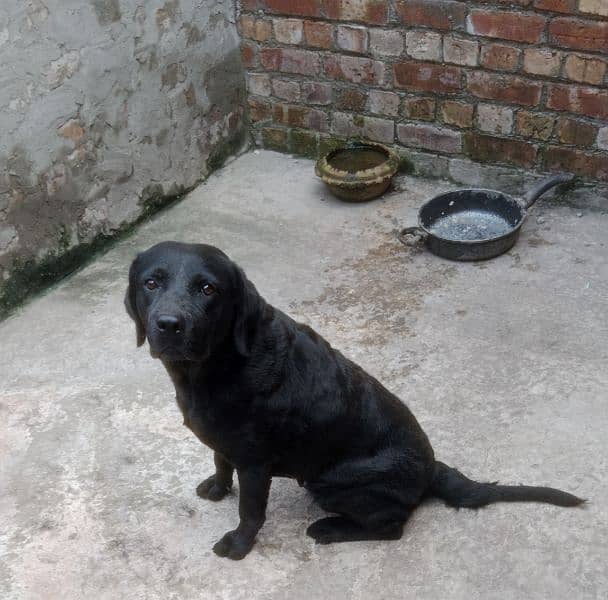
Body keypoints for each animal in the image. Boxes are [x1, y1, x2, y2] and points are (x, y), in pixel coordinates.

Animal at [124, 241, 584, 560]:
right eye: (151, 282)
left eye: (208, 289)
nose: (169, 324)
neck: (217, 366)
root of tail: (431, 468)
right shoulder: (225, 441)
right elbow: (220, 460)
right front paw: (218, 487)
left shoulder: (255, 464)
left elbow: (250, 511)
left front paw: (238, 545)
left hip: (330, 481)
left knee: (393, 527)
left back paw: (330, 529)